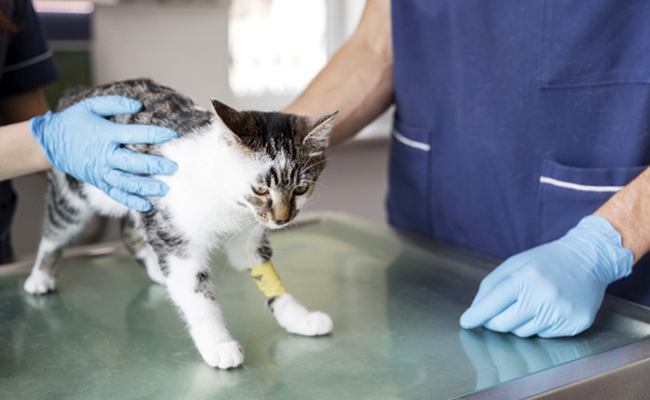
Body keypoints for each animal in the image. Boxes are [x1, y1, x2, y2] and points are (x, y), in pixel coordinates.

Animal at [21, 79, 334, 370]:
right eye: (260, 190)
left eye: (300, 189)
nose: (283, 219)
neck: (228, 203)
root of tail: (76, 92)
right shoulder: (178, 240)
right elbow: (197, 295)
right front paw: (217, 344)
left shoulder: (247, 235)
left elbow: (265, 275)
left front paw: (298, 317)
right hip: (73, 192)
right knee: (56, 229)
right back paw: (40, 276)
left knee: (130, 231)